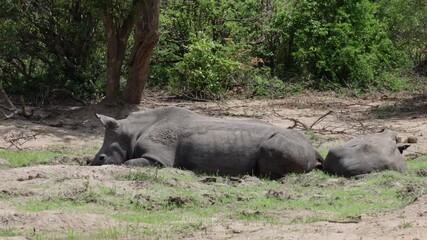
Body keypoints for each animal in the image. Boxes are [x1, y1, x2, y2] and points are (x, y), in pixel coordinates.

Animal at [91, 106, 324, 178]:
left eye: (103, 157)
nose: (94, 162)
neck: (131, 130)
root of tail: (314, 149)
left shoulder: (158, 157)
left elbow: (128, 163)